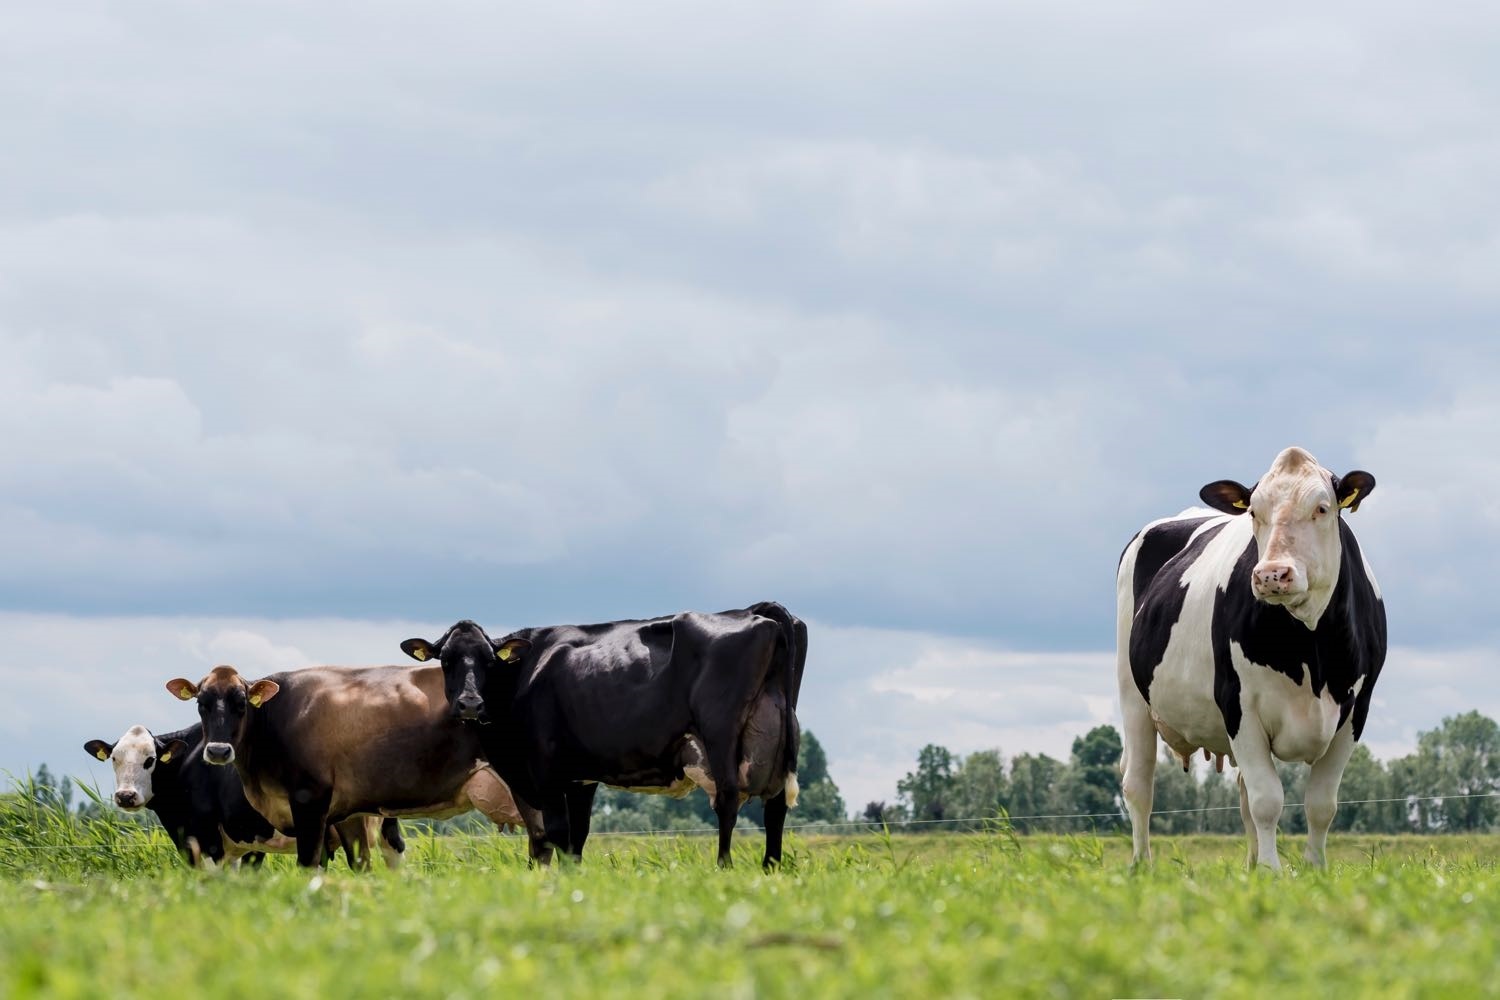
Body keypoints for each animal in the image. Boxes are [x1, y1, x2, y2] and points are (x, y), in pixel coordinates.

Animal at [163, 665, 525, 869]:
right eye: (201, 703)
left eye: (241, 703)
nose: (218, 751)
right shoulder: (347, 813)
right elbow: (360, 865)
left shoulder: (309, 800)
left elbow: (309, 863)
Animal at [399, 602, 810, 869]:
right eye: (446, 660)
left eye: (488, 660)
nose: (470, 702)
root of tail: (757, 611)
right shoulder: (580, 778)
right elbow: (573, 838)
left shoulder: (545, 772)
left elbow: (556, 832)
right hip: (776, 740)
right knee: (775, 810)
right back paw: (770, 869)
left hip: (720, 734)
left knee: (727, 802)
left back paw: (723, 868)